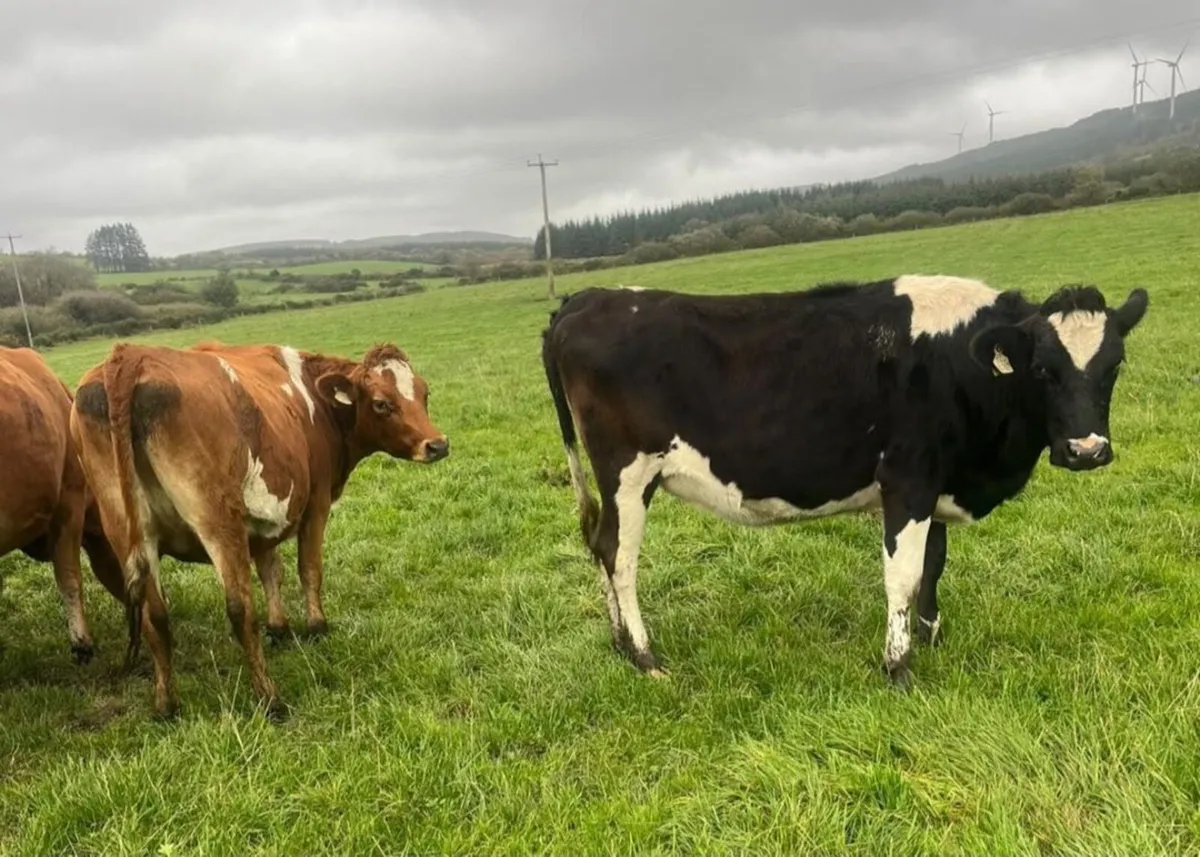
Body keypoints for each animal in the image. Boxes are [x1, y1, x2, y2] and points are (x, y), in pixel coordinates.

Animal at [70, 341, 449, 720]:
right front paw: (316, 626)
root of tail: (131, 356)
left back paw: (167, 704)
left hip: (126, 531)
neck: (311, 397)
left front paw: (279, 627)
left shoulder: (266, 522)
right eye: (382, 403)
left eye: (424, 393)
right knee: (239, 609)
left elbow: (271, 570)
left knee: (155, 616)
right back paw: (269, 697)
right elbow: (309, 569)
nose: (438, 444)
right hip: (220, 523)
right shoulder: (316, 504)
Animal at [541, 275, 1148, 687]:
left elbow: (933, 563)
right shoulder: (907, 479)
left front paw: (931, 634)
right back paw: (646, 657)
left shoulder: (934, 481)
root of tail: (585, 298)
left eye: (1114, 365)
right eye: (1043, 369)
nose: (1087, 451)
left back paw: (620, 644)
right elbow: (902, 575)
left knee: (597, 545)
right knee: (617, 554)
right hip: (627, 473)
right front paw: (899, 667)